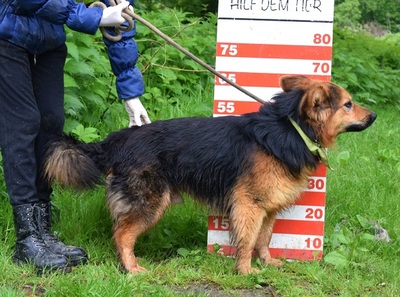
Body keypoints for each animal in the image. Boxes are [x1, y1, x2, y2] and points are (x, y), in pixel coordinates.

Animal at [43, 75, 376, 274]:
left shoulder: (267, 208)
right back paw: (132, 268)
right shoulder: (248, 205)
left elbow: (264, 239)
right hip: (150, 202)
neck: (291, 129)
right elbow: (247, 240)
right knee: (122, 234)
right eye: (348, 104)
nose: (374, 116)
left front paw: (268, 263)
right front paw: (246, 271)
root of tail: (118, 139)